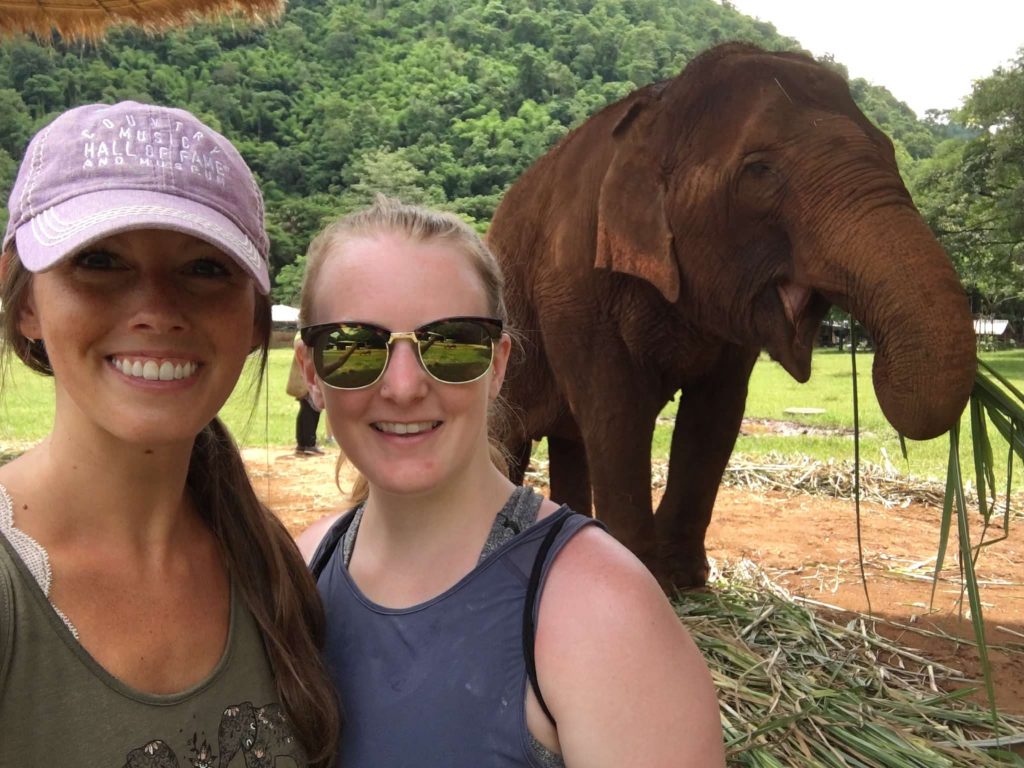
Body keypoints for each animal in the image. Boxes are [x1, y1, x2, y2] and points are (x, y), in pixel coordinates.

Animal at [487, 41, 974, 589]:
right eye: (759, 171)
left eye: (889, 151)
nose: (870, 355)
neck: (658, 104)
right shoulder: (574, 285)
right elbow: (617, 413)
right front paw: (647, 577)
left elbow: (716, 414)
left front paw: (686, 580)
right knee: (510, 438)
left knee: (569, 442)